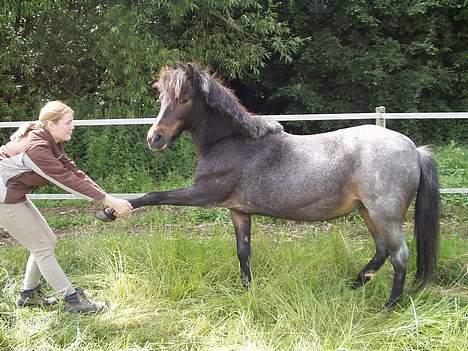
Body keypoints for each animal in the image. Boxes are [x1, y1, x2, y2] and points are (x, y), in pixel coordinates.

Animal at [97, 62, 440, 308]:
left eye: (183, 98)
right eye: (161, 98)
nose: (154, 138)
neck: (233, 142)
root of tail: (414, 150)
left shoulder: (202, 194)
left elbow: (155, 195)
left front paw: (110, 212)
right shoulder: (238, 211)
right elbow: (243, 251)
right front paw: (246, 289)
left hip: (385, 215)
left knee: (399, 256)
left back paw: (389, 306)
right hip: (368, 212)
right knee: (382, 250)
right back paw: (355, 284)